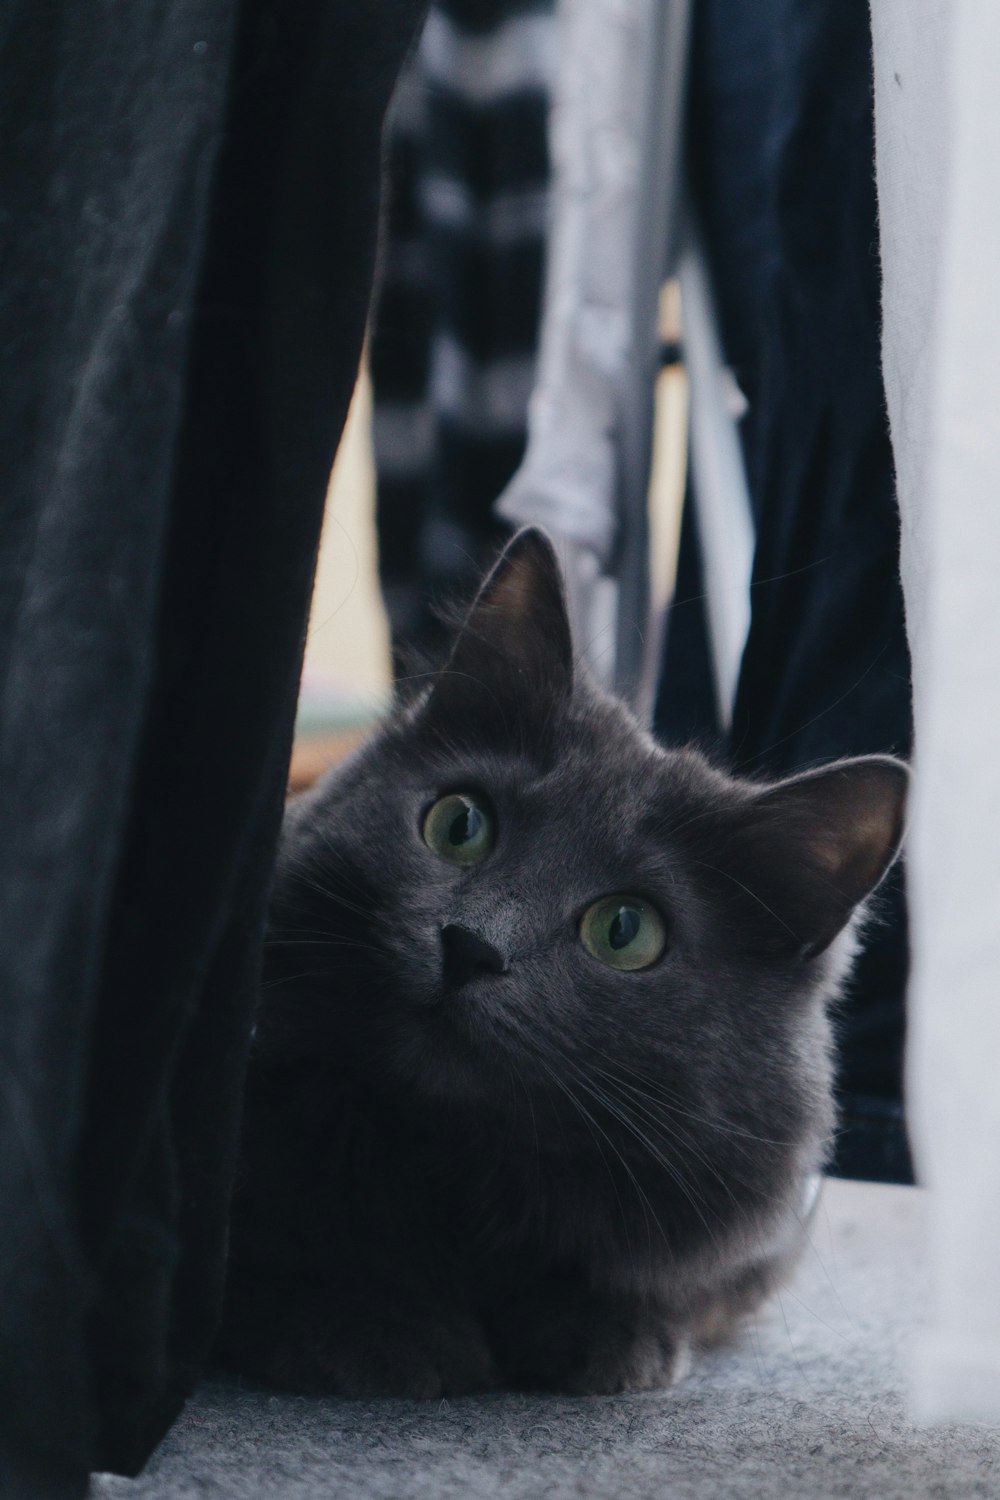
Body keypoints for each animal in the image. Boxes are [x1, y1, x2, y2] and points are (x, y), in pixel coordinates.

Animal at [217, 525, 905, 1392]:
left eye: (626, 931)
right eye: (459, 825)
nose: (472, 945)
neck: (453, 1165)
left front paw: (603, 1330)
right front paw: (375, 1326)